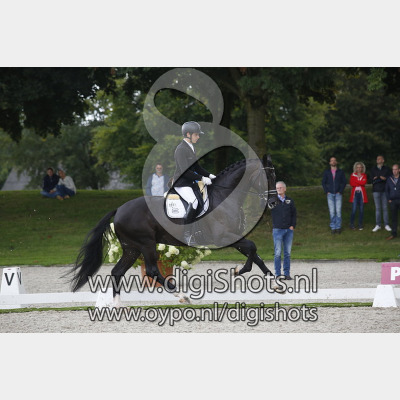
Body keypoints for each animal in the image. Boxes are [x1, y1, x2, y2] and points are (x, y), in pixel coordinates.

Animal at [68, 154, 278, 305]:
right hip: (146, 244)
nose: (274, 203)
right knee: (152, 271)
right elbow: (252, 249)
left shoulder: (234, 236)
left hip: (131, 248)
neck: (224, 197)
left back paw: (118, 304)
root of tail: (119, 209)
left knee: (117, 272)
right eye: (268, 176)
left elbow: (256, 254)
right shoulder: (224, 236)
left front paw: (276, 284)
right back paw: (182, 296)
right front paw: (238, 271)